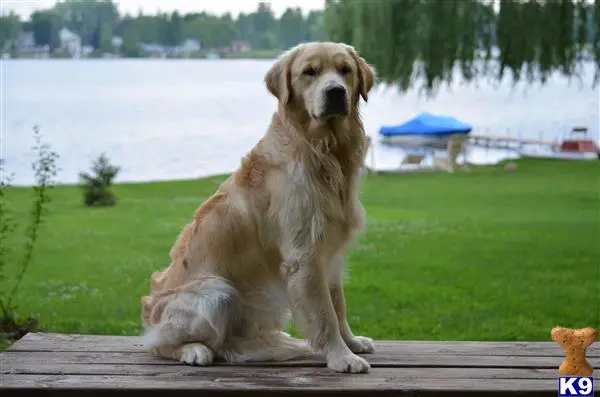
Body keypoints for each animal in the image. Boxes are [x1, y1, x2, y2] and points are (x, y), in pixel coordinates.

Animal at [141, 41, 376, 372]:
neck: (322, 150)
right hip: (217, 292)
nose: (335, 92)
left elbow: (338, 305)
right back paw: (193, 350)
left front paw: (352, 342)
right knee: (157, 344)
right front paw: (341, 356)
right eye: (310, 72)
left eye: (345, 70)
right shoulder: (304, 256)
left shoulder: (331, 254)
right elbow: (325, 315)